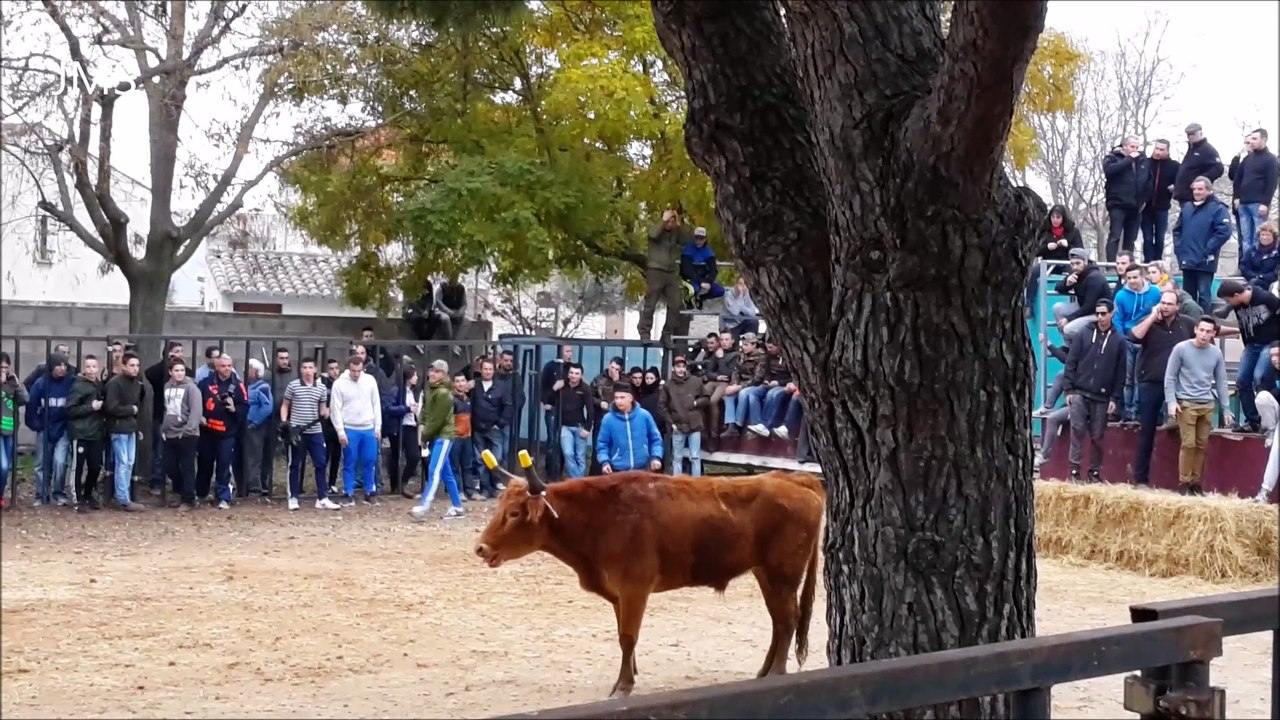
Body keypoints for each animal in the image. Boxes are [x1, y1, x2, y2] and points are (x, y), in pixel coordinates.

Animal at [474, 449, 825, 698]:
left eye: (514, 513)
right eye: (499, 507)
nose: (480, 548)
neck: (598, 518)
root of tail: (795, 480)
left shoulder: (634, 588)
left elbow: (628, 637)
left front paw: (623, 686)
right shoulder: (618, 593)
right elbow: (622, 637)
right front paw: (629, 675)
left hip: (782, 575)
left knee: (788, 619)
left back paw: (776, 673)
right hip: (765, 574)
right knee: (779, 621)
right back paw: (764, 674)